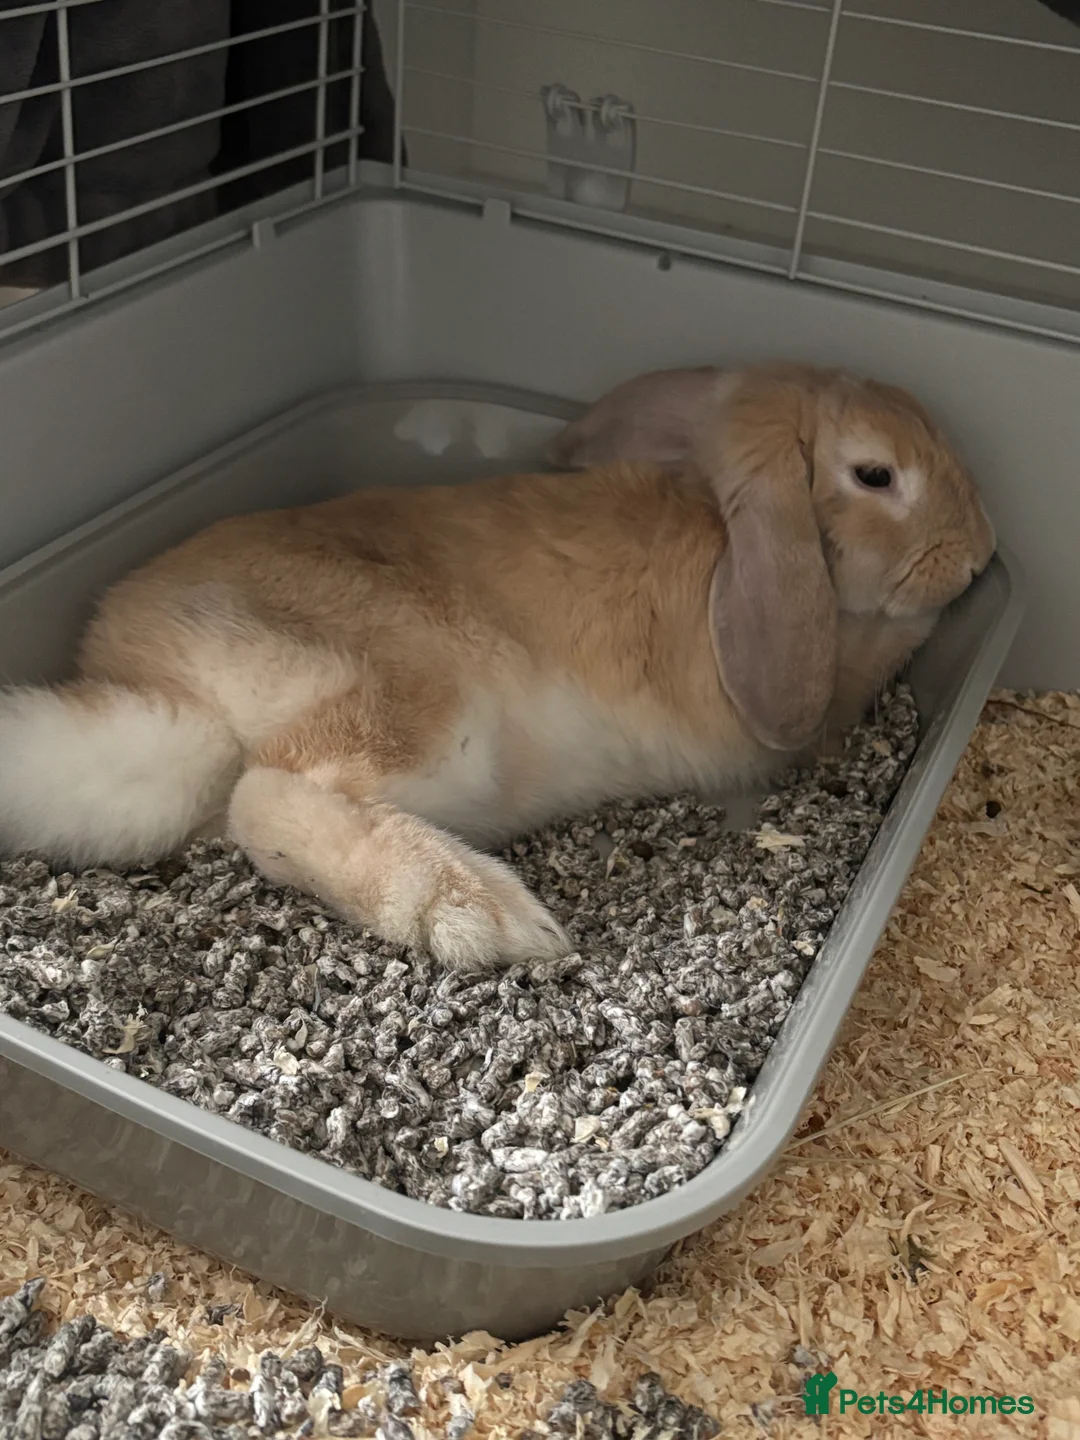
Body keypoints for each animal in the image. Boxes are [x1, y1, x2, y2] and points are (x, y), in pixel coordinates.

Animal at [0, 361, 995, 974]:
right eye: (876, 475)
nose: (983, 554)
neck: (727, 526)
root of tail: (158, 686)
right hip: (424, 707)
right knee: (275, 794)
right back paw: (482, 913)